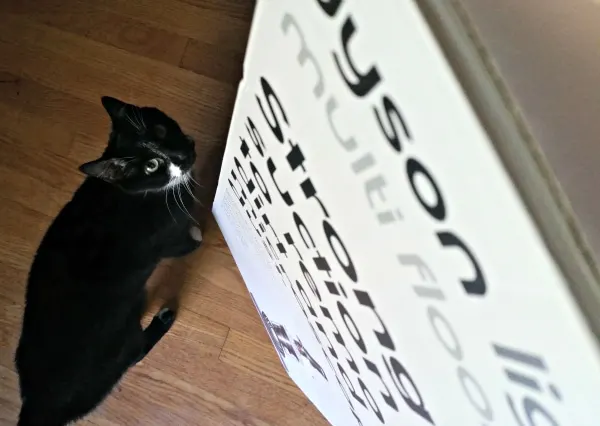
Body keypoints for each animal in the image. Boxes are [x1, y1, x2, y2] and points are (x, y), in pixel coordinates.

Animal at [15, 97, 203, 426]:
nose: (183, 154)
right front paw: (198, 233)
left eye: (160, 129)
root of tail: (37, 402)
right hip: (120, 336)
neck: (135, 193)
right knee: (135, 353)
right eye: (151, 165)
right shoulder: (166, 238)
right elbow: (183, 244)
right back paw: (163, 318)